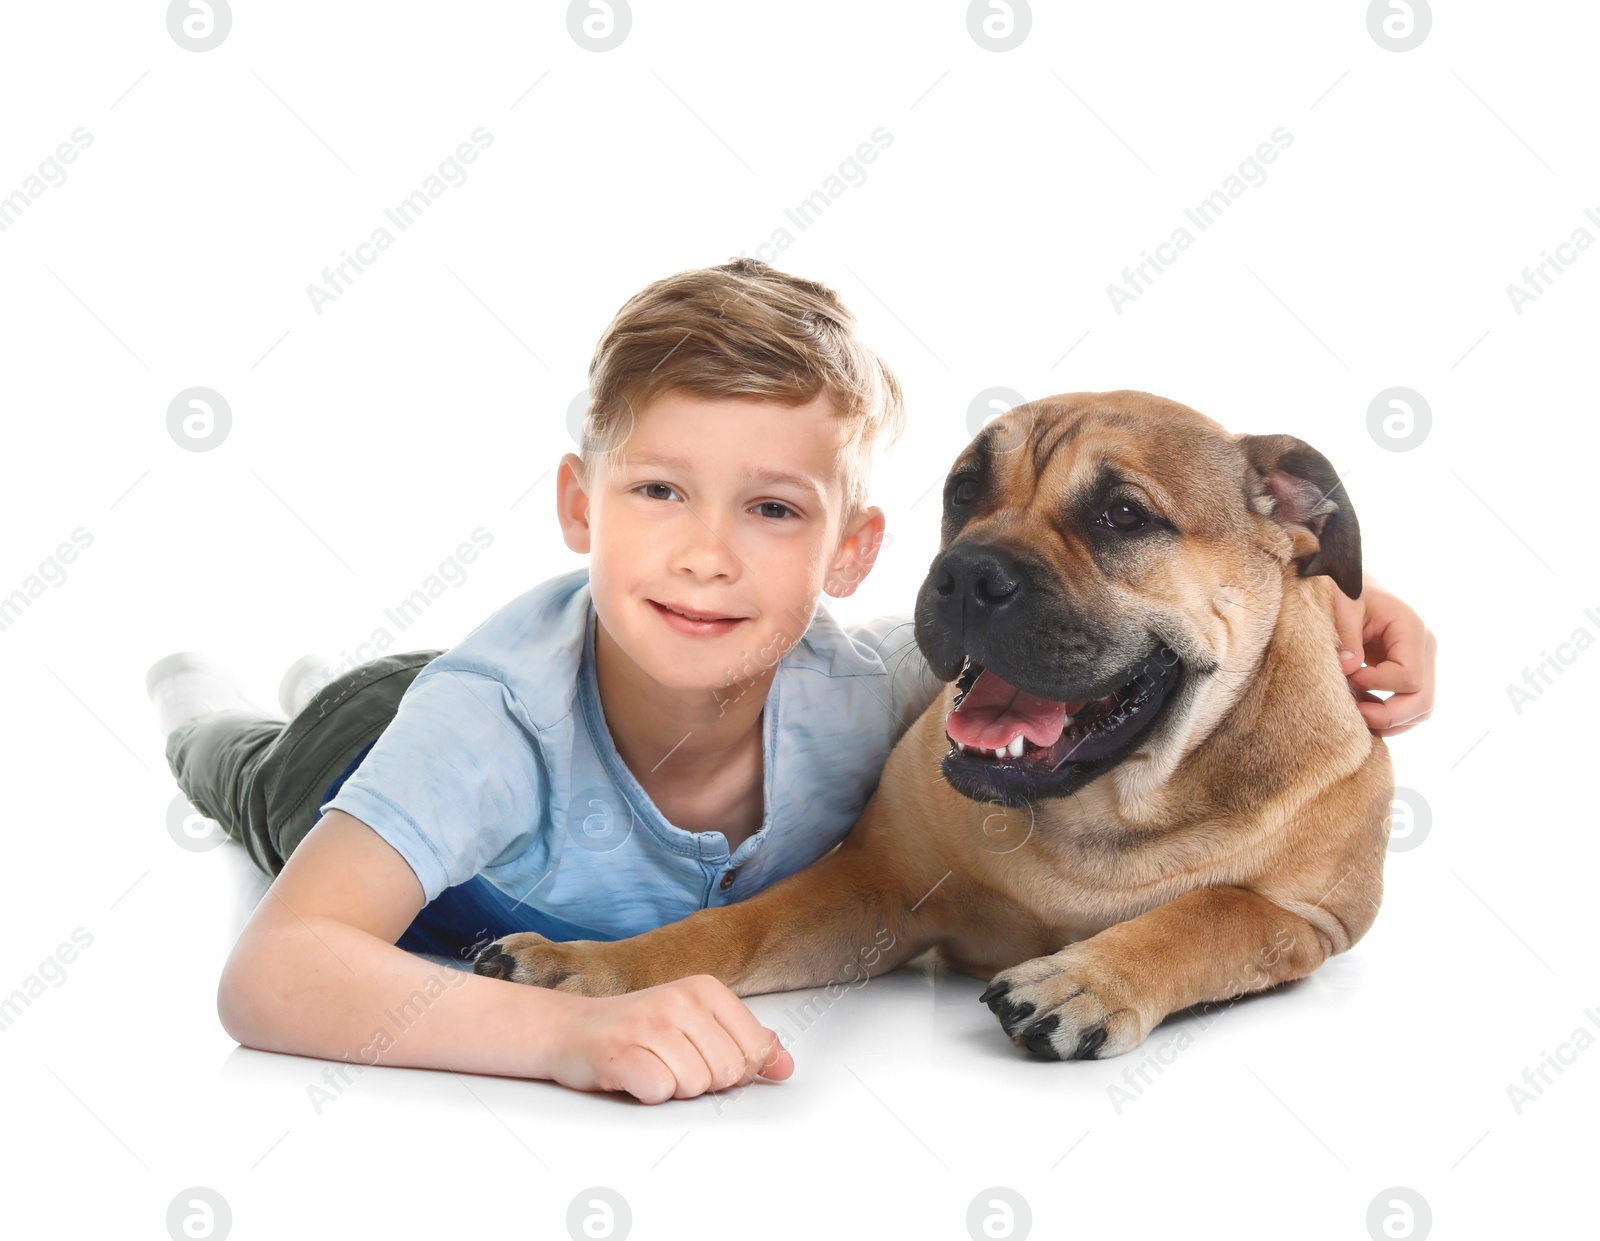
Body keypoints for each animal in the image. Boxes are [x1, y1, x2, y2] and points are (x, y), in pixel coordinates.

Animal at [470, 393, 1388, 1061]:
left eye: (1124, 515)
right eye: (963, 492)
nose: (969, 572)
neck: (1101, 808)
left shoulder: (1308, 919)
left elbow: (1211, 912)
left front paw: (1085, 980)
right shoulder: (876, 880)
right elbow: (733, 926)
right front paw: (592, 964)